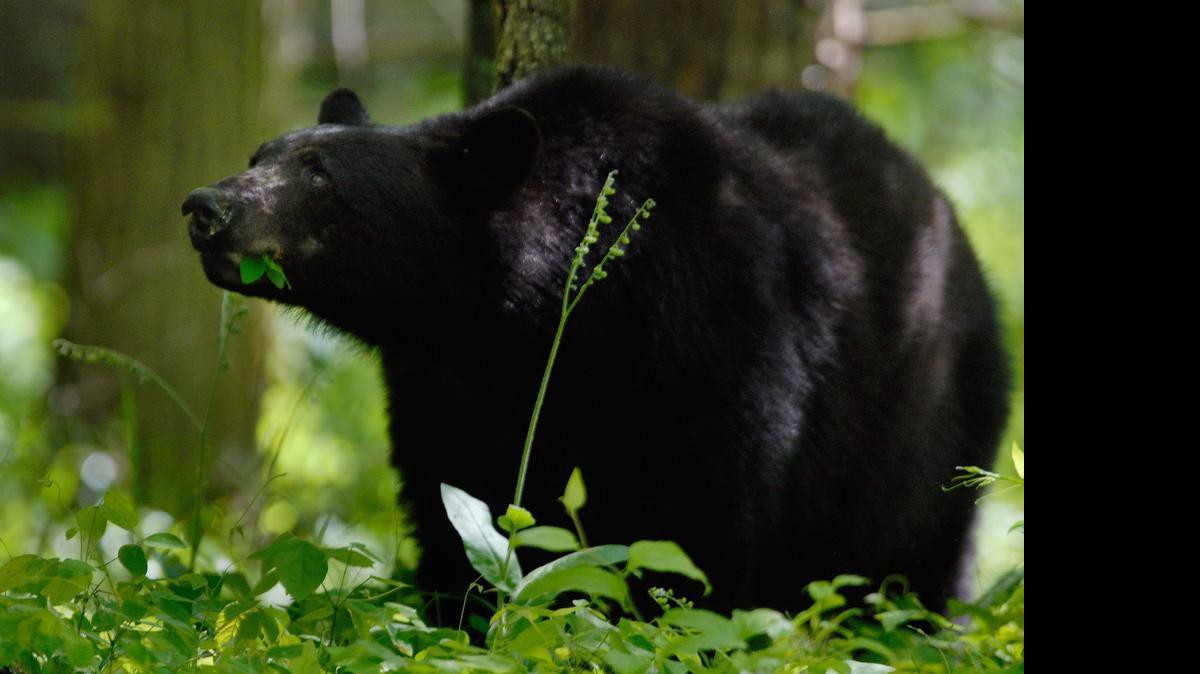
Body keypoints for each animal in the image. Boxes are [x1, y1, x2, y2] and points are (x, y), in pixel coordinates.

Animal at [183, 65, 1009, 613]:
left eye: (320, 175)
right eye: (259, 155)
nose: (205, 206)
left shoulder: (711, 337)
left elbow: (693, 529)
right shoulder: (444, 384)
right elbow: (457, 509)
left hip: (930, 436)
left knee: (917, 561)